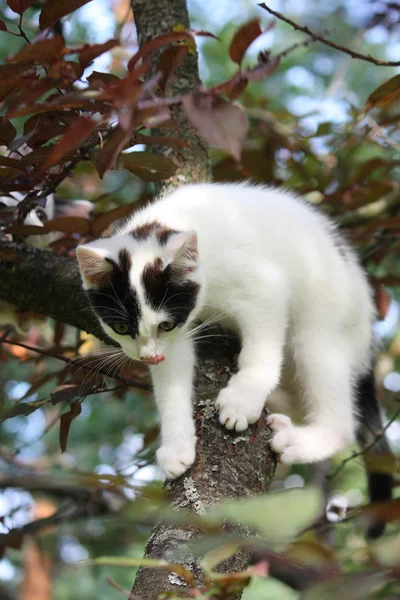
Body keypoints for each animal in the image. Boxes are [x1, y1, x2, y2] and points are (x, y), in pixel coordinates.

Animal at [76, 180, 392, 532]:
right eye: (121, 327)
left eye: (165, 323)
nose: (148, 356)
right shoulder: (176, 336)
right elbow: (172, 380)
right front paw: (177, 444)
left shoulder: (264, 287)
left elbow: (262, 346)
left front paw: (242, 400)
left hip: (324, 320)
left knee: (336, 402)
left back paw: (299, 440)